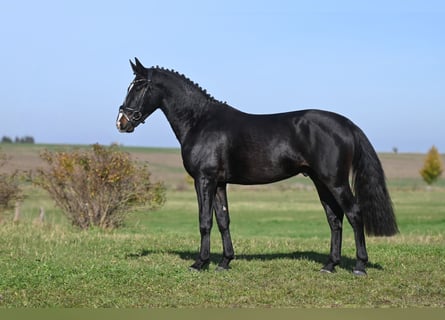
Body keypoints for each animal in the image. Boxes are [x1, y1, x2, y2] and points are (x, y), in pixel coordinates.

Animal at [116, 57, 398, 276]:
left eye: (139, 86)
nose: (121, 121)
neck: (200, 121)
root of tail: (347, 124)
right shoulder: (219, 183)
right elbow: (224, 220)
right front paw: (225, 262)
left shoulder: (204, 179)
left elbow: (205, 220)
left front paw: (200, 263)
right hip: (321, 181)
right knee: (334, 218)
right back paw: (330, 265)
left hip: (335, 181)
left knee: (354, 213)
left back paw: (360, 266)